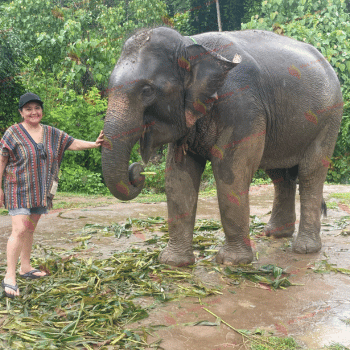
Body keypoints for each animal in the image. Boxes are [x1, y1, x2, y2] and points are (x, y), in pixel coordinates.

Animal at [101, 26, 342, 266]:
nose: (137, 172)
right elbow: (178, 178)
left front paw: (232, 261)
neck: (190, 46)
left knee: (311, 173)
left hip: (330, 118)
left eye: (147, 91)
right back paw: (274, 234)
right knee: (279, 175)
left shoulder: (241, 105)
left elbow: (230, 171)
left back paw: (305, 249)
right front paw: (173, 262)